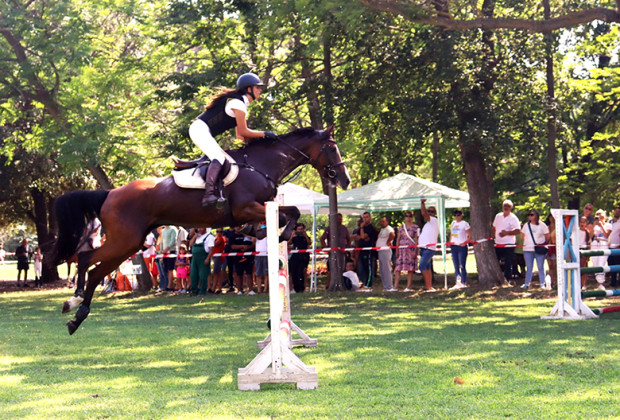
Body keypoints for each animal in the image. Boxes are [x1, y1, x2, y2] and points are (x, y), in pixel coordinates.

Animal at [50, 124, 352, 334]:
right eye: (332, 148)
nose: (345, 179)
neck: (261, 165)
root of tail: (109, 193)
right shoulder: (246, 207)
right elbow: (291, 213)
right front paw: (285, 234)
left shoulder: (256, 209)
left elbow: (281, 217)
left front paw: (264, 234)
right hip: (125, 241)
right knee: (86, 259)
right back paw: (74, 301)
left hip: (129, 244)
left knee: (95, 271)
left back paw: (76, 315)